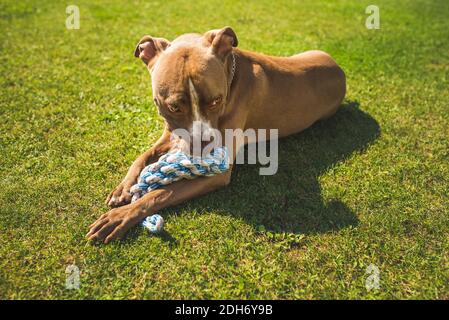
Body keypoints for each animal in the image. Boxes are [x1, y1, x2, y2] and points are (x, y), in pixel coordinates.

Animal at [87, 26, 346, 242]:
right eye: (173, 107)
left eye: (216, 101)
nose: (203, 147)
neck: (231, 75)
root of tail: (339, 68)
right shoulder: (170, 134)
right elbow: (142, 157)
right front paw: (123, 187)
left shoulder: (216, 173)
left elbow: (160, 192)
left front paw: (121, 216)